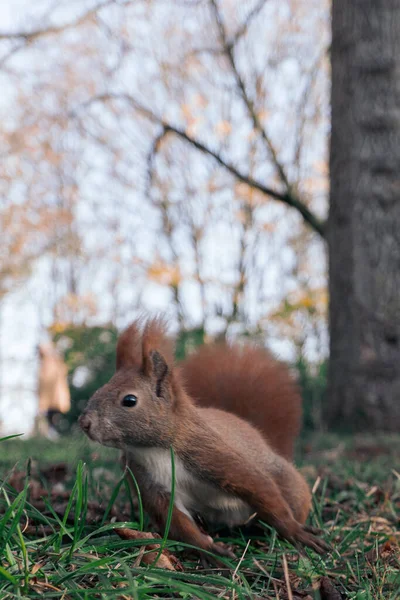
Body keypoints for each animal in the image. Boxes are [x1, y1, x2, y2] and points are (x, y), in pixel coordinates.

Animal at [79, 318, 328, 556]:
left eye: (129, 400)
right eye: (98, 391)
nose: (84, 423)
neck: (153, 450)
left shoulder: (211, 453)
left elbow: (260, 487)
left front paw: (293, 531)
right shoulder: (145, 479)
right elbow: (174, 520)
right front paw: (209, 550)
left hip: (289, 485)